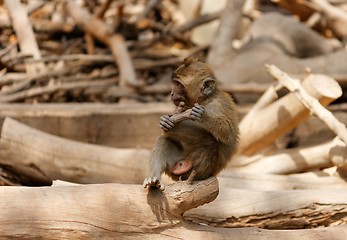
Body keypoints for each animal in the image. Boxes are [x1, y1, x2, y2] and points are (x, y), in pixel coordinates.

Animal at [143, 57, 239, 190]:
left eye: (178, 84)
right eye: (175, 83)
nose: (171, 93)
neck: (205, 100)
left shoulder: (219, 105)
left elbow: (228, 134)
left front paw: (203, 116)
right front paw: (166, 121)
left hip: (202, 168)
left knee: (210, 141)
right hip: (175, 164)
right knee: (165, 139)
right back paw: (153, 178)